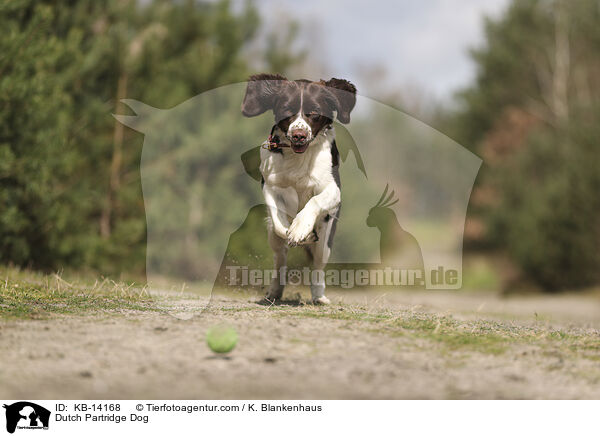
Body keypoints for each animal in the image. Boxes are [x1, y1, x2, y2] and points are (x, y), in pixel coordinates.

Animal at [241, 74, 356, 304]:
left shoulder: (333, 189)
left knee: (318, 267)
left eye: (314, 112)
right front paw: (292, 231)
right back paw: (274, 291)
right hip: (273, 240)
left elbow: (314, 201)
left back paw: (319, 296)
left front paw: (301, 228)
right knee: (280, 258)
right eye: (287, 110)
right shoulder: (270, 186)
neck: (298, 158)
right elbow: (278, 221)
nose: (299, 135)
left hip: (325, 241)